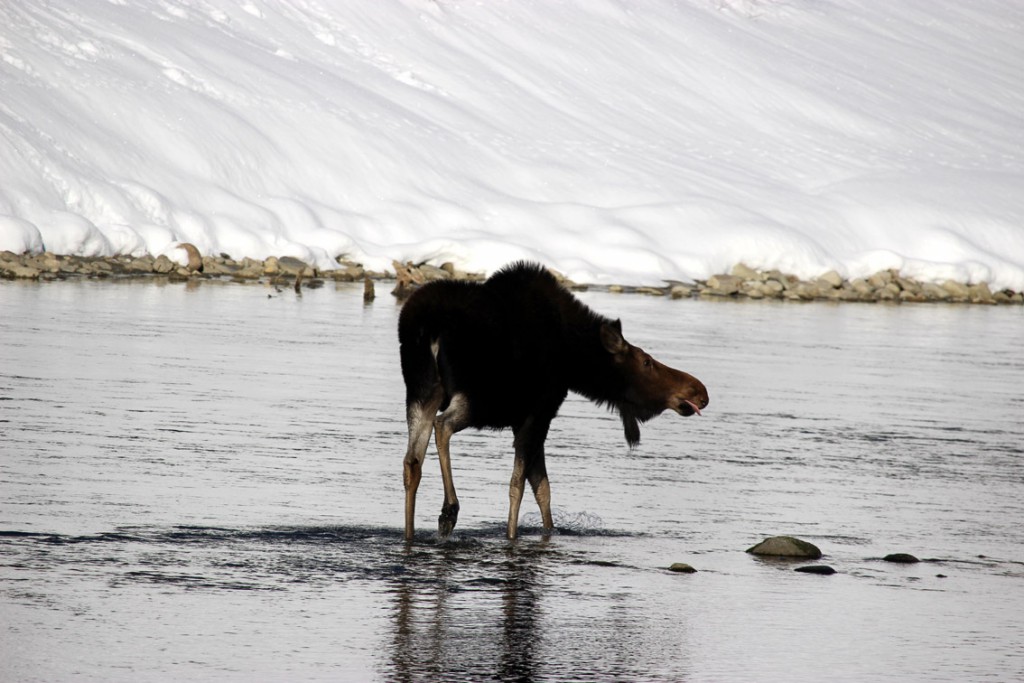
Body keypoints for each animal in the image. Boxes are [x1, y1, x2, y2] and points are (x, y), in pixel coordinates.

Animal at [395, 260, 708, 540]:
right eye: (646, 362)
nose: (699, 391)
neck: (572, 359)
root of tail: (427, 326)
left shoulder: (525, 419)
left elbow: (542, 488)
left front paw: (549, 531)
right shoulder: (539, 412)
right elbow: (520, 485)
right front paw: (512, 536)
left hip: (421, 391)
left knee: (412, 461)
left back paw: (410, 534)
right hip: (479, 399)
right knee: (442, 426)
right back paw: (449, 511)